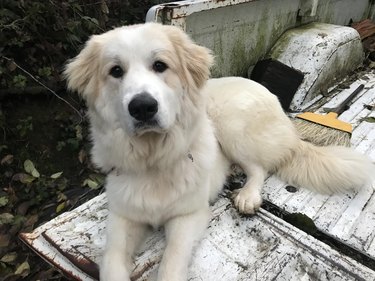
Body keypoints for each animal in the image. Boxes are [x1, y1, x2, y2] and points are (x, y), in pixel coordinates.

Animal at [64, 22, 374, 280]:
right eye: (116, 71)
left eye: (160, 65)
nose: (142, 107)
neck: (154, 157)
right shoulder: (123, 218)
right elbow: (112, 261)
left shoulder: (188, 216)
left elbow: (171, 261)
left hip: (231, 124)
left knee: (259, 169)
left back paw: (248, 195)